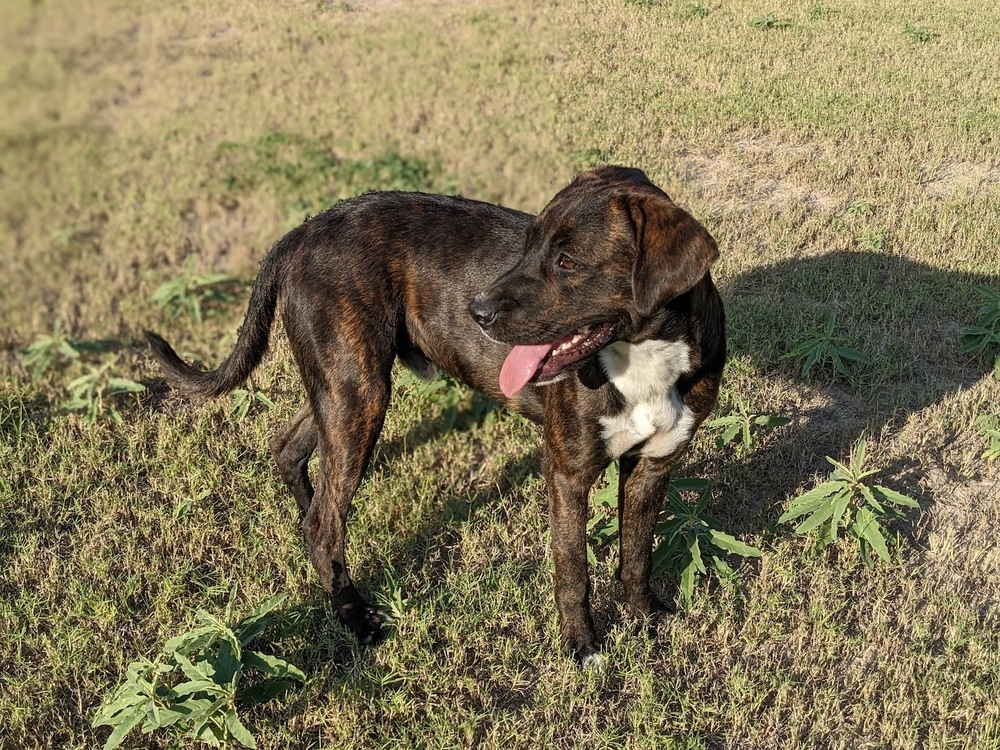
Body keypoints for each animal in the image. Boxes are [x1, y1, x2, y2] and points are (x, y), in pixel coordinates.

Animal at [146, 167, 728, 668]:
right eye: (529, 244)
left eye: (568, 261)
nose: (477, 312)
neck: (646, 354)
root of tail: (301, 231)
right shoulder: (568, 473)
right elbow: (572, 569)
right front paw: (581, 647)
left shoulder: (654, 466)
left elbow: (638, 552)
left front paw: (644, 617)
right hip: (359, 392)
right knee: (324, 522)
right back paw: (353, 615)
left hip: (345, 388)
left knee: (289, 451)